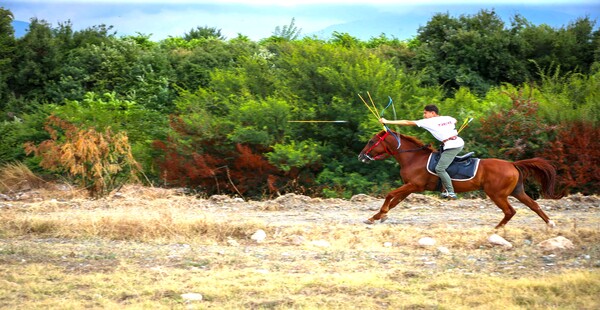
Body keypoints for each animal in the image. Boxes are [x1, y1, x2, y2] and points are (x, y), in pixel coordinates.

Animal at [358, 130, 564, 229]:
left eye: (371, 141)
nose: (361, 156)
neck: (413, 157)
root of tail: (512, 164)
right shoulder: (411, 188)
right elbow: (394, 201)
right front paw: (377, 217)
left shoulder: (413, 185)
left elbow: (389, 195)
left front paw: (380, 214)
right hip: (517, 191)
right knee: (534, 205)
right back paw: (551, 223)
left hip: (497, 194)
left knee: (510, 211)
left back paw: (495, 229)